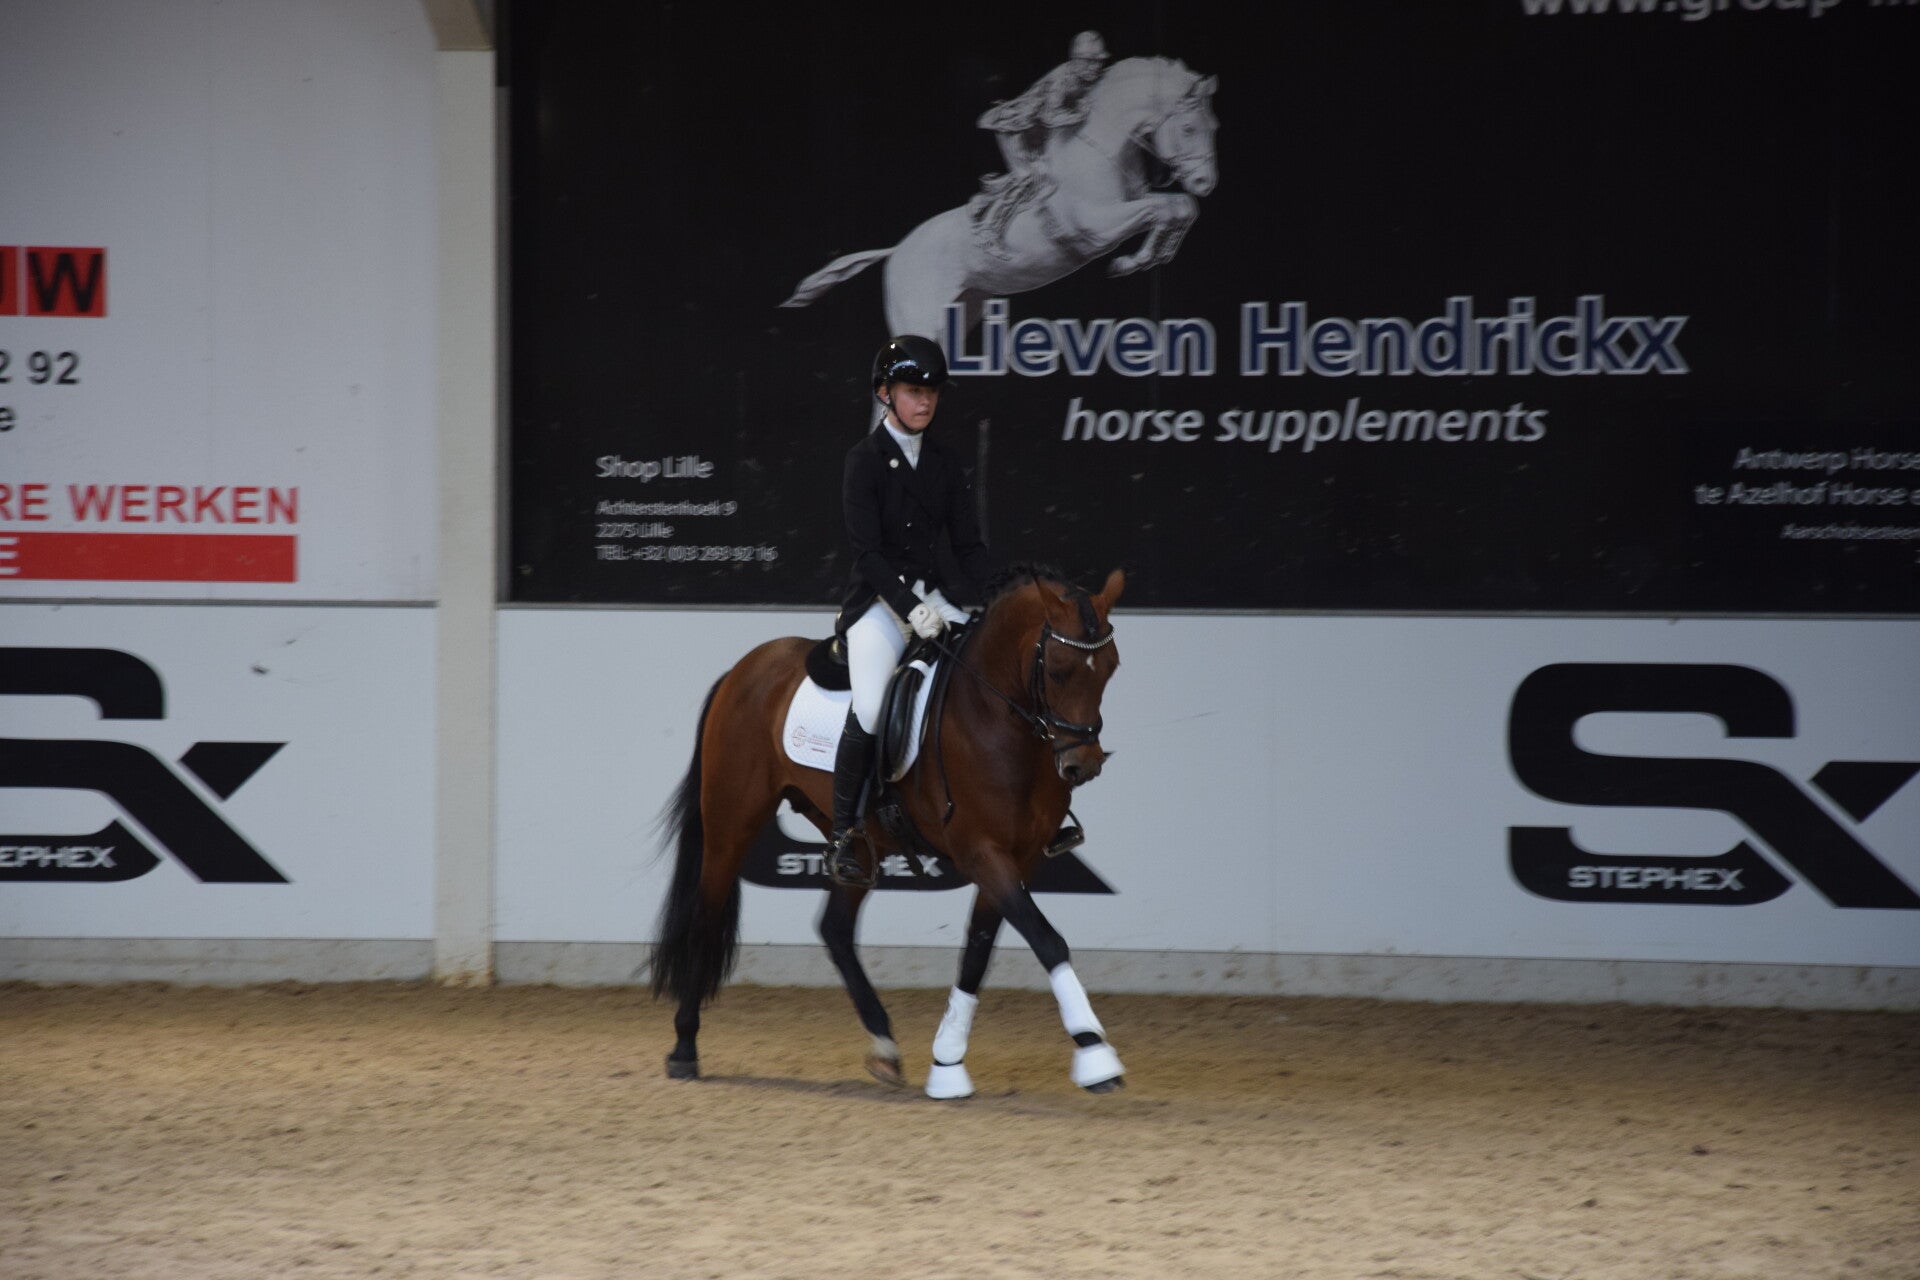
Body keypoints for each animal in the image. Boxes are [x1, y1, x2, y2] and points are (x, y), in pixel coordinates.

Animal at [650, 566, 1127, 1098]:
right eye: (1059, 670)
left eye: (1110, 668)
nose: (1082, 766)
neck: (994, 715)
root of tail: (742, 670)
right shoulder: (981, 851)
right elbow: (1047, 940)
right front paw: (1096, 1055)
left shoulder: (1016, 857)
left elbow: (978, 952)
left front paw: (947, 1063)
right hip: (731, 819)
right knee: (706, 913)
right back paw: (684, 1048)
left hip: (859, 841)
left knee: (835, 926)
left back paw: (883, 1044)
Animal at [781, 56, 1219, 338]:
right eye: (1189, 128)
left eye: (1212, 125)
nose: (1205, 182)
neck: (1100, 150)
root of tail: (896, 252)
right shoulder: (1097, 226)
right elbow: (1165, 206)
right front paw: (1135, 259)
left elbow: (1180, 207)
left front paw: (1151, 255)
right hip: (920, 318)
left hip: (962, 309)